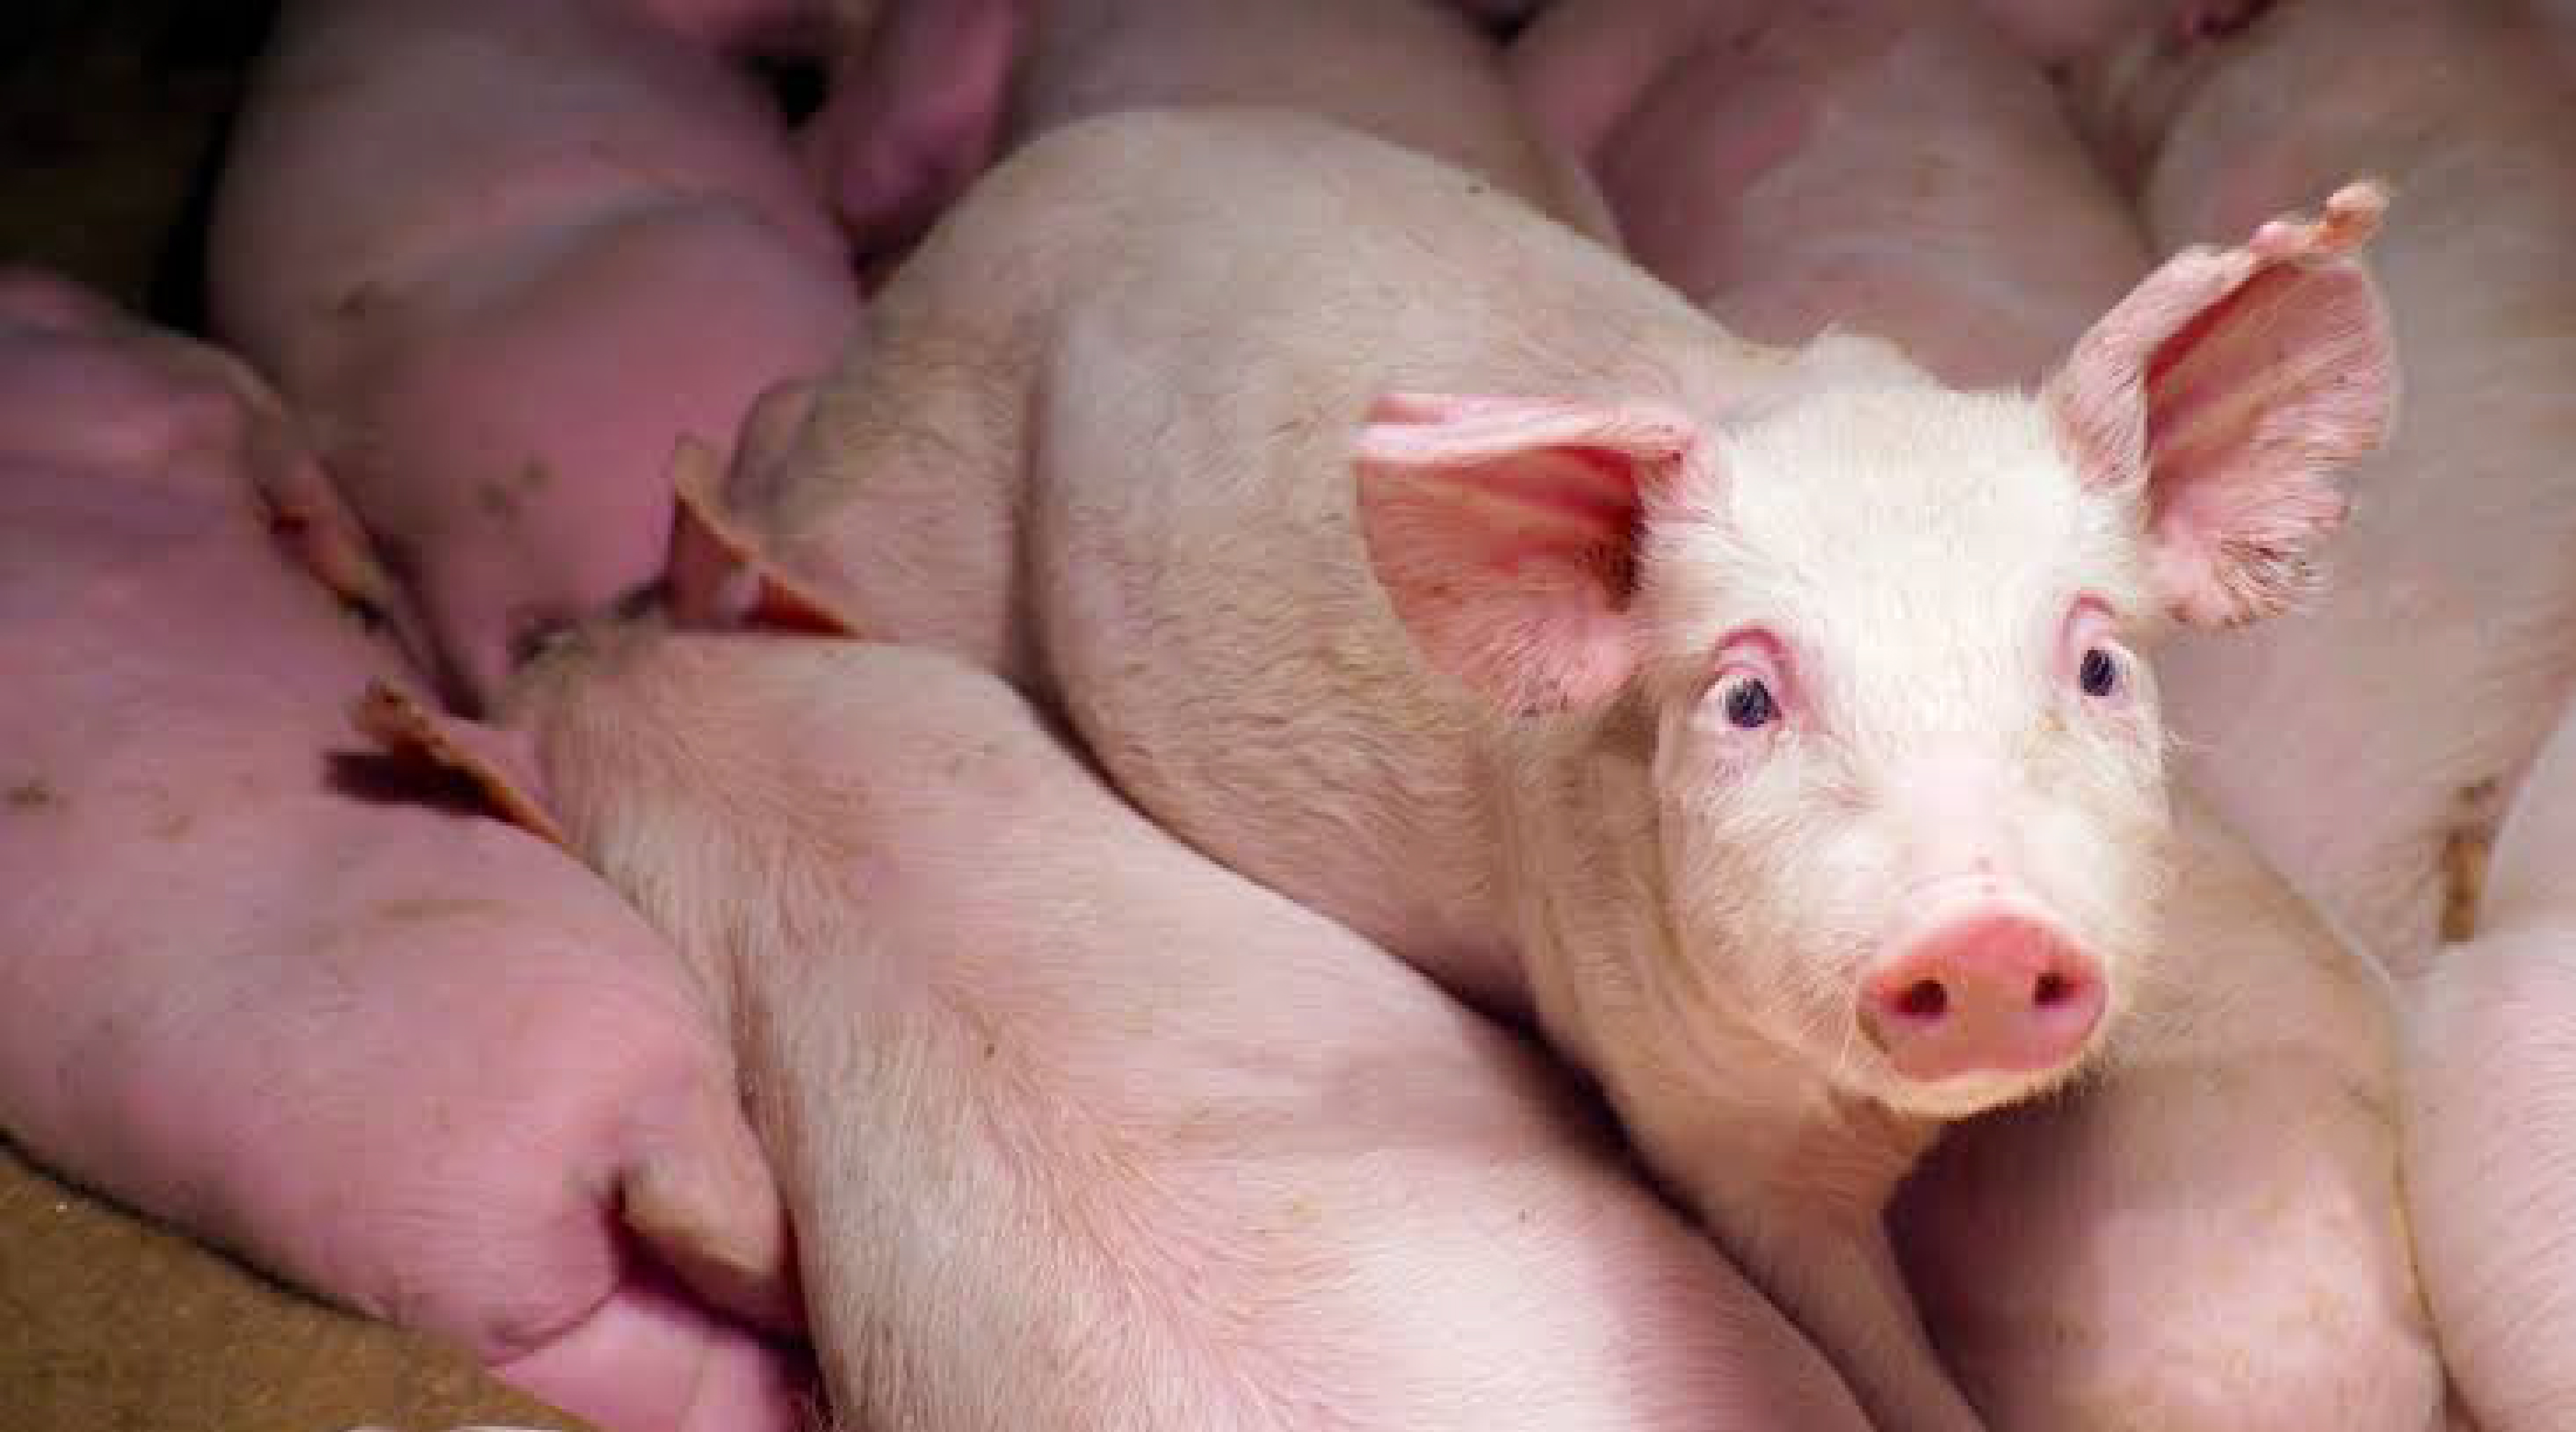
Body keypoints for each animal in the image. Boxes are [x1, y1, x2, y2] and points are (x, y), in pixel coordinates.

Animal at [669, 106, 2394, 1431]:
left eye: (2097, 664)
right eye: (1745, 697)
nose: (1979, 934)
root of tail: (981, 212)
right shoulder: (1679, 1093)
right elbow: (1853, 1330)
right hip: (911, 515)